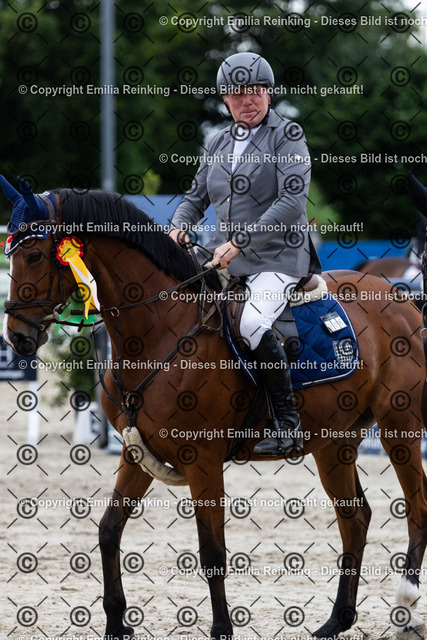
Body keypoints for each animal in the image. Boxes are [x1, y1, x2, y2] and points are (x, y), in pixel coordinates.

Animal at [2, 176, 427, 640]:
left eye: (35, 255)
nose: (17, 336)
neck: (159, 333)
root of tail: (401, 298)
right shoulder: (137, 453)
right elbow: (109, 530)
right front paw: (116, 621)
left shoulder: (201, 459)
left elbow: (211, 551)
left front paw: (221, 627)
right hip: (334, 441)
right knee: (355, 518)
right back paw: (337, 620)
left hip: (399, 425)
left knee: (417, 506)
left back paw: (405, 603)